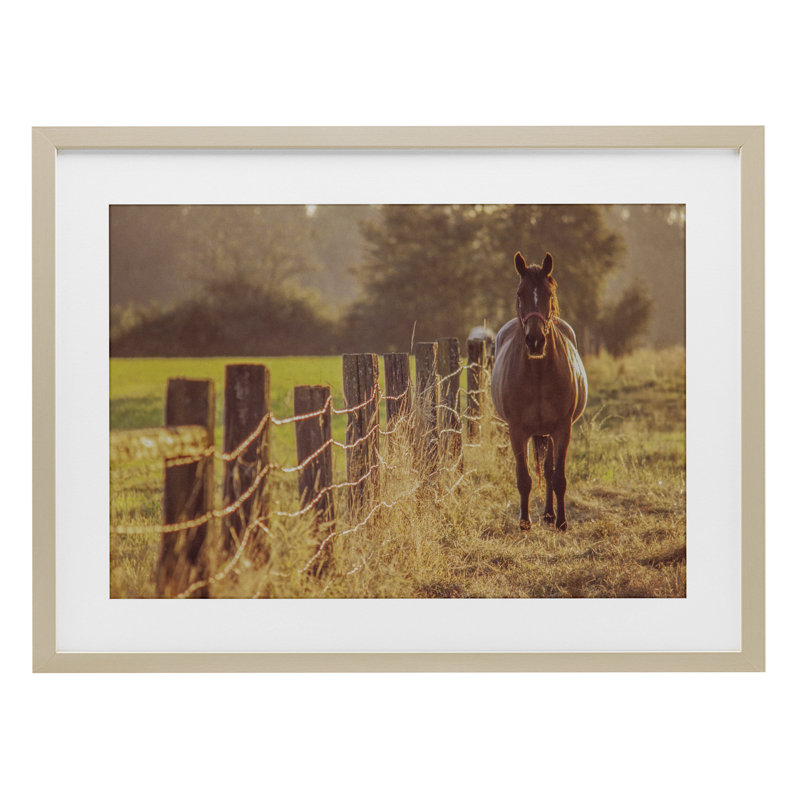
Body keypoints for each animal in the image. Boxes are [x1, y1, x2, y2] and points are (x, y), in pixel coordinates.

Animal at [491, 251, 588, 531]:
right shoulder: (517, 431)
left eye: (549, 293)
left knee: (548, 470)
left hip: (549, 433)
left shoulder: (562, 429)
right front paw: (524, 521)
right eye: (520, 293)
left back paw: (549, 514)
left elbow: (558, 477)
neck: (538, 374)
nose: (535, 341)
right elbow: (524, 478)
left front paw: (562, 522)